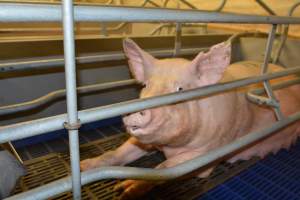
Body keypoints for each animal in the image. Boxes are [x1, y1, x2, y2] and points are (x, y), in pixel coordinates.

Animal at [80, 38, 300, 198]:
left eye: (179, 89)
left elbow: (167, 168)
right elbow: (117, 153)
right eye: (146, 85)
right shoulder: (144, 142)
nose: (135, 111)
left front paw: (125, 189)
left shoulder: (209, 152)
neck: (169, 146)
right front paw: (83, 168)